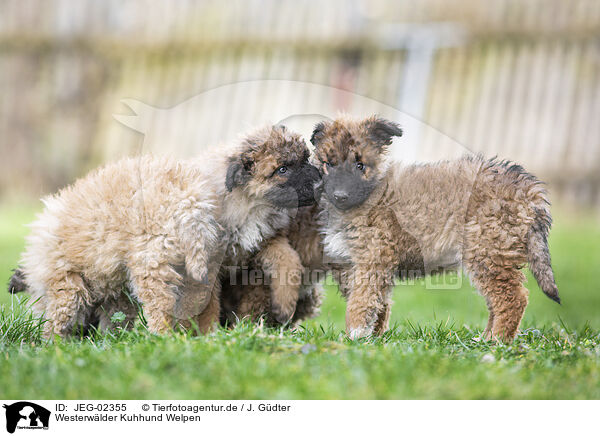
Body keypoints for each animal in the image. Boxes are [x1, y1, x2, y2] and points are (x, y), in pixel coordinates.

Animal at [312, 115, 560, 340]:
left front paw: (354, 335)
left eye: (360, 165)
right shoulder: (353, 265)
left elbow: (361, 301)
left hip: (488, 252)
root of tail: (528, 189)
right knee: (497, 301)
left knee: (512, 298)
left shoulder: (373, 259)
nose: (340, 195)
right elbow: (379, 303)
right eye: (329, 164)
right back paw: (485, 338)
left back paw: (497, 341)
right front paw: (374, 336)